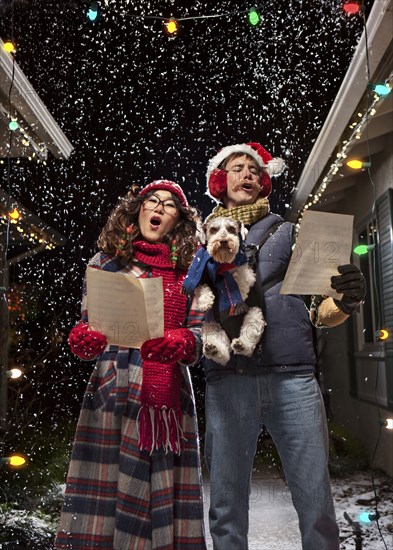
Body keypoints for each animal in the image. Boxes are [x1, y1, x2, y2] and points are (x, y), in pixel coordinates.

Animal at [194, 218, 264, 368]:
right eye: (213, 229)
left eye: (231, 229)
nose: (223, 241)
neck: (222, 264)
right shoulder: (203, 279)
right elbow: (202, 288)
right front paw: (206, 302)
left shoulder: (247, 272)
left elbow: (240, 277)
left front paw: (238, 296)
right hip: (211, 327)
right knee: (224, 354)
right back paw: (213, 349)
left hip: (255, 317)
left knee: (248, 344)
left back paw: (241, 345)